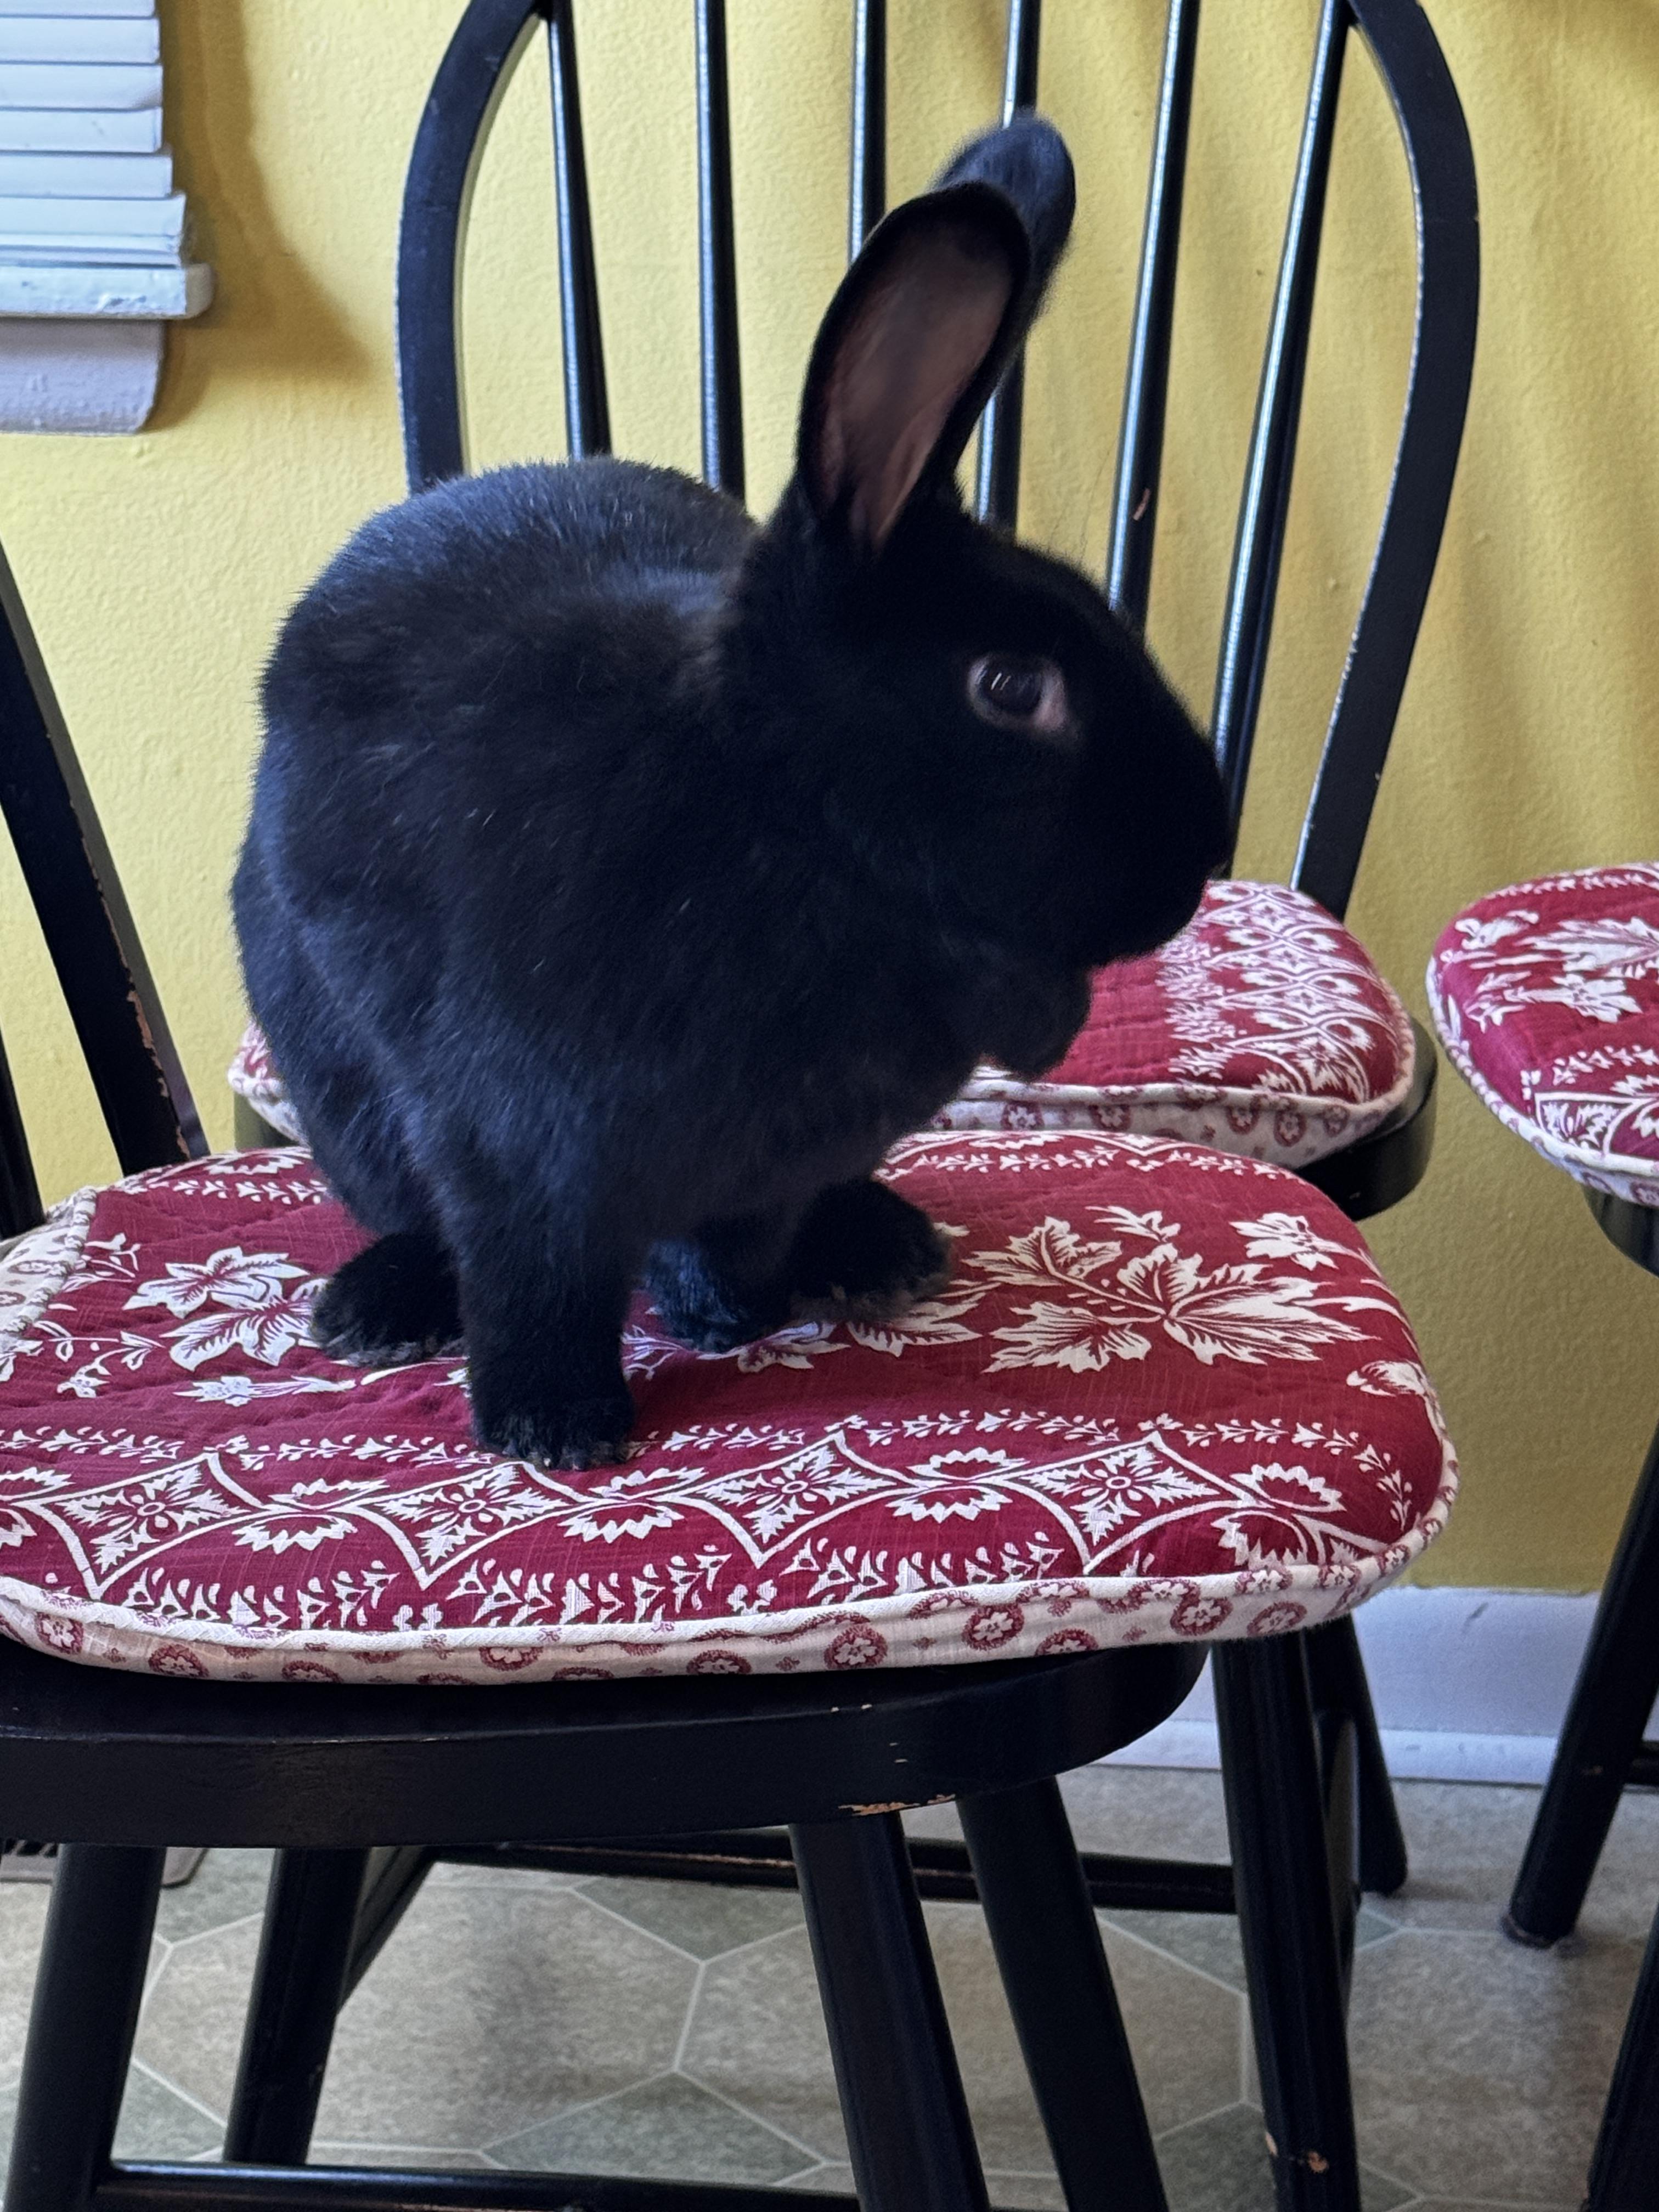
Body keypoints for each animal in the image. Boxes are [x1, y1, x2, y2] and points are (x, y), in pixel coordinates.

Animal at [234, 115, 1230, 1473]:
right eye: (1015, 687)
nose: (1205, 848)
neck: (792, 828)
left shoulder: (764, 1169)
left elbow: (734, 1239)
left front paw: (729, 1315)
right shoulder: (519, 1153)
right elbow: (536, 1282)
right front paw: (555, 1428)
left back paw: (878, 1247)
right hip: (337, 1090)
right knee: (408, 1217)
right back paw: (381, 1309)